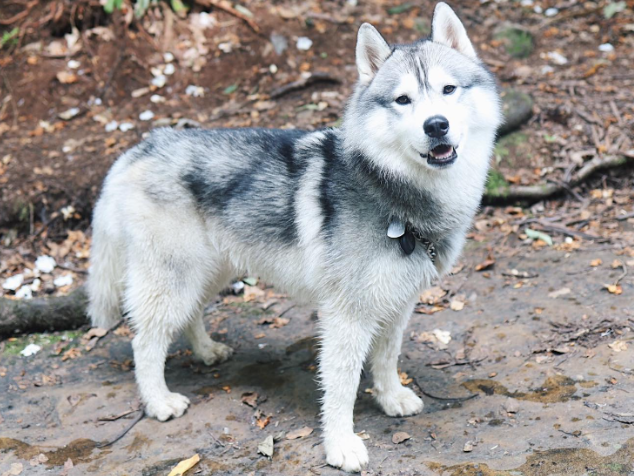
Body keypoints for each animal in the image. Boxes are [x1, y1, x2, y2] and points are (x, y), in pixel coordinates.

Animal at [86, 2, 498, 472]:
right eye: (403, 100)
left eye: (449, 90)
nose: (436, 125)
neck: (392, 195)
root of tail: (143, 145)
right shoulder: (346, 316)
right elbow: (341, 387)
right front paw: (341, 445)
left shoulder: (397, 303)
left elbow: (387, 357)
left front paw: (391, 398)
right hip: (173, 280)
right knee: (145, 341)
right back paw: (158, 402)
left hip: (210, 273)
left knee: (190, 315)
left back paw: (207, 351)